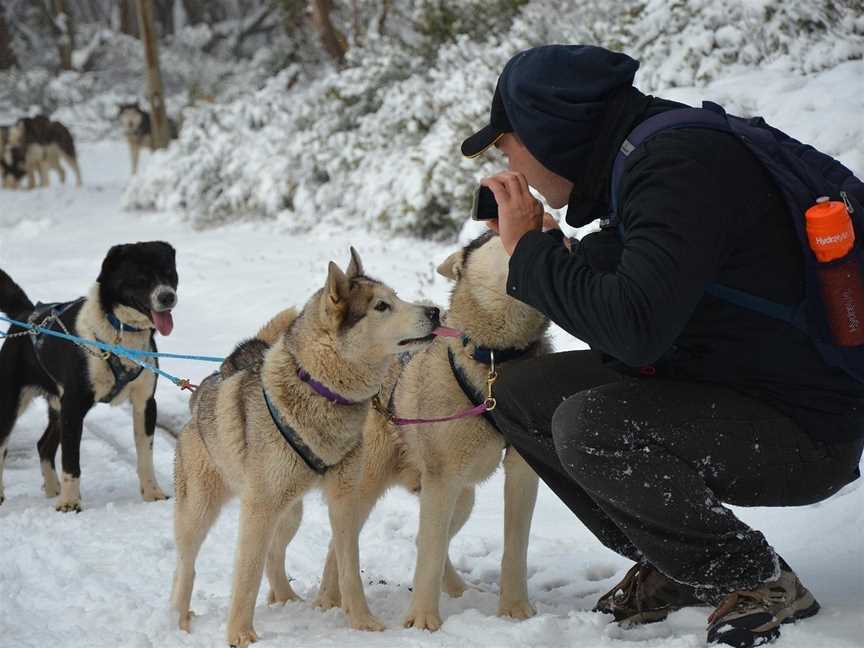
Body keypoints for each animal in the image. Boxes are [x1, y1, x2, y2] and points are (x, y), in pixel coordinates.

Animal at [0, 242, 178, 512]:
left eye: (169, 272)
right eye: (141, 277)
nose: (168, 297)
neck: (119, 332)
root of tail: (26, 314)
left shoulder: (145, 403)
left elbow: (145, 456)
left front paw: (152, 493)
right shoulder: (74, 406)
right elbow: (71, 461)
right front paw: (69, 503)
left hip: (57, 406)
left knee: (43, 445)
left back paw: (52, 489)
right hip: (12, 403)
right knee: (3, 446)